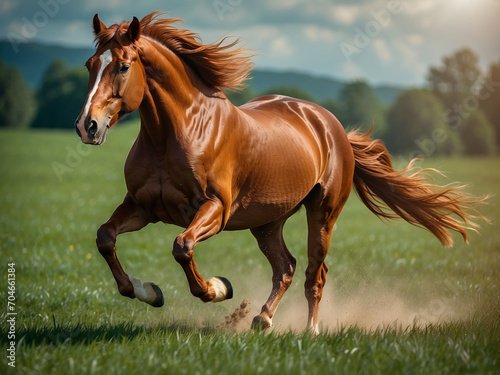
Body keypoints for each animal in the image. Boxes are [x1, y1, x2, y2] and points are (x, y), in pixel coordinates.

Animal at [74, 11, 484, 334]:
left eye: (123, 65)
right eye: (90, 64)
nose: (87, 126)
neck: (176, 134)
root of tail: (332, 126)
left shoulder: (214, 211)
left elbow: (182, 246)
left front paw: (219, 288)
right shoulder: (143, 207)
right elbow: (105, 238)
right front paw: (150, 292)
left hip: (322, 214)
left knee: (314, 273)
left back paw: (310, 330)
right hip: (267, 222)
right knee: (285, 267)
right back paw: (263, 319)